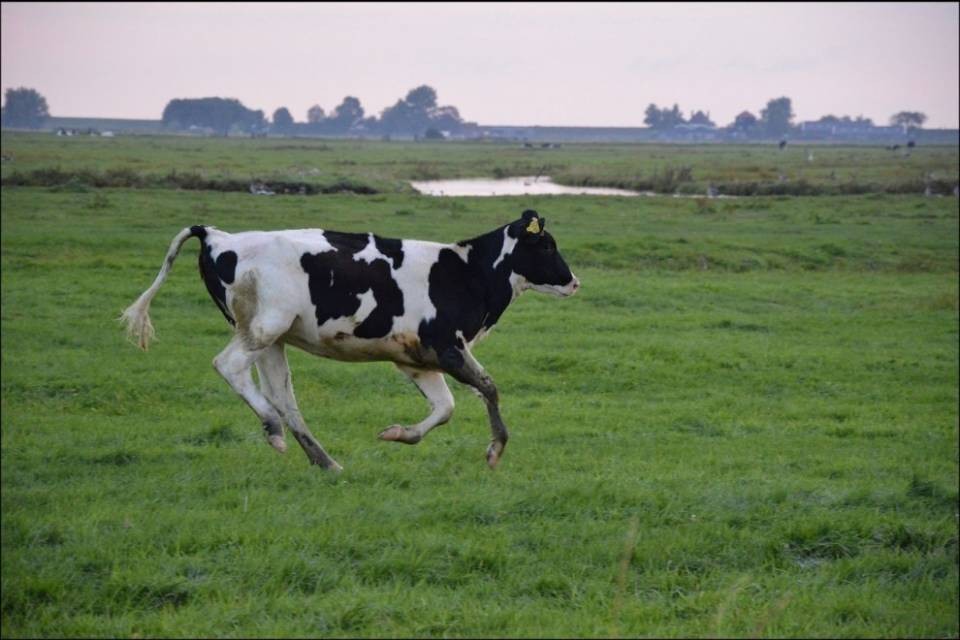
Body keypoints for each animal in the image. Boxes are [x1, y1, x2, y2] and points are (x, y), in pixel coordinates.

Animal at [121, 210, 579, 471]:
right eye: (546, 244)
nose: (574, 281)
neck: (466, 272)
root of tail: (220, 236)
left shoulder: (417, 358)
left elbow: (445, 407)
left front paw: (399, 434)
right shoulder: (449, 345)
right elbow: (489, 388)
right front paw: (495, 450)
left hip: (271, 338)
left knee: (284, 398)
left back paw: (325, 462)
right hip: (263, 327)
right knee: (231, 368)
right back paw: (273, 428)